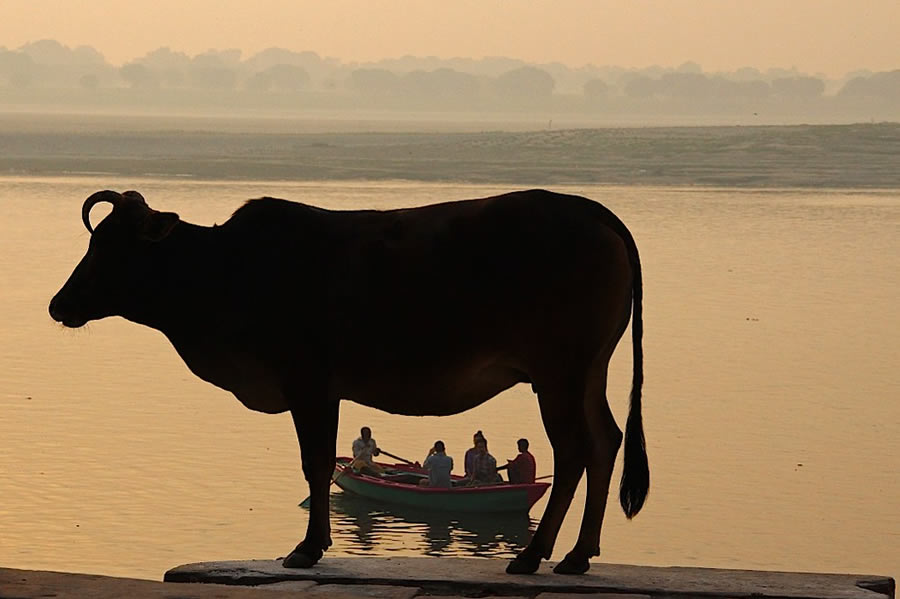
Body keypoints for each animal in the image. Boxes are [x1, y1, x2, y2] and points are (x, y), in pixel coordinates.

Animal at [49, 191, 648, 576]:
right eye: (96, 241)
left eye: (110, 247)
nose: (59, 304)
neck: (225, 271)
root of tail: (590, 209)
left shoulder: (309, 383)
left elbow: (315, 463)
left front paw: (307, 548)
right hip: (589, 371)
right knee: (606, 442)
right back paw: (576, 555)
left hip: (559, 373)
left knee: (574, 451)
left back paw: (531, 555)